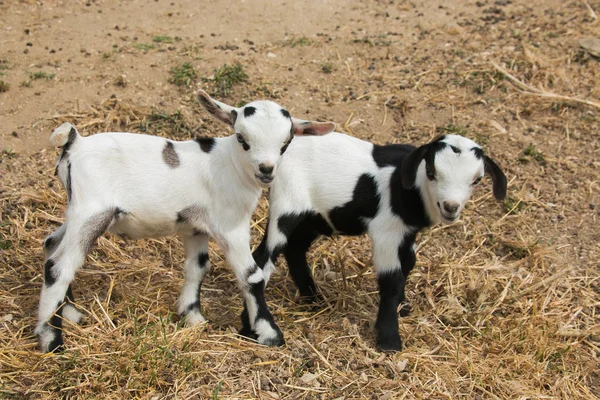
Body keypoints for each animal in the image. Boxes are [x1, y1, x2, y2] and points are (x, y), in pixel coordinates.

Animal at [36, 90, 338, 354]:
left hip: (79, 210)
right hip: (92, 210)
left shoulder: (195, 227)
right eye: (242, 138)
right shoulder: (230, 226)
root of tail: (74, 143)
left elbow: (198, 267)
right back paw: (51, 340)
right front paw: (269, 333)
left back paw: (70, 313)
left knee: (51, 245)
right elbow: (251, 275)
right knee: (59, 266)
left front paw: (192, 316)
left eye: (286, 143)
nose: (266, 170)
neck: (230, 166)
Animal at [248, 133, 506, 352]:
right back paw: (259, 329)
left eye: (476, 180)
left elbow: (408, 263)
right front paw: (389, 340)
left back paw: (313, 299)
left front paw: (403, 307)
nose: (450, 207)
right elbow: (391, 279)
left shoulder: (407, 232)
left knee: (295, 248)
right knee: (263, 258)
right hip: (286, 205)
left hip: (314, 217)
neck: (410, 190)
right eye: (431, 172)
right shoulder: (386, 232)